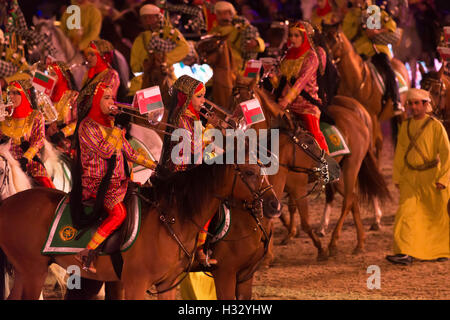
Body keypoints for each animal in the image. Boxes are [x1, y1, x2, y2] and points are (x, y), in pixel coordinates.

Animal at [0, 150, 282, 300]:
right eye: (248, 172)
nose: (274, 204)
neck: (171, 219)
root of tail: (7, 204)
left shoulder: (170, 284)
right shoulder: (138, 283)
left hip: (27, 272)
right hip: (33, 271)